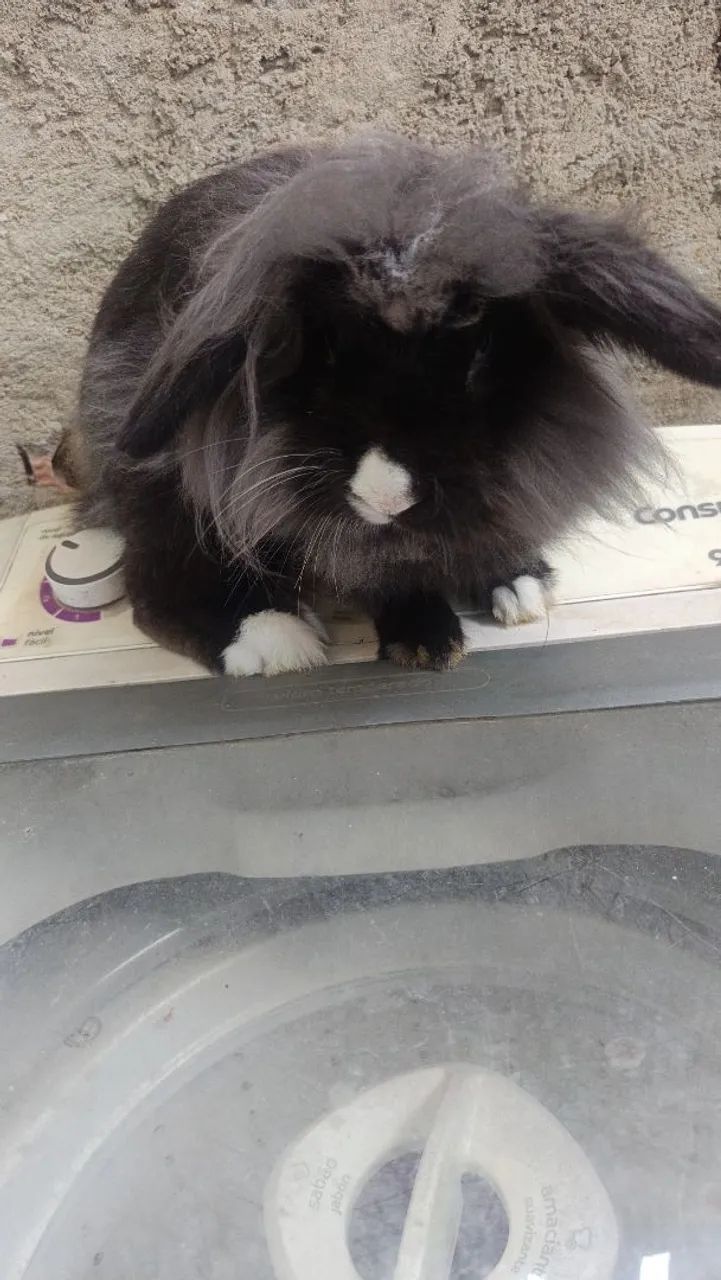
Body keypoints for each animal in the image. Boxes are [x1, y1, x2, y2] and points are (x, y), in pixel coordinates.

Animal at [74, 134, 721, 675]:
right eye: (318, 351)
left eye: (480, 353)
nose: (386, 494)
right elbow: (375, 573)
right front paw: (427, 642)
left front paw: (517, 584)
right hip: (159, 481)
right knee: (156, 580)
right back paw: (274, 640)